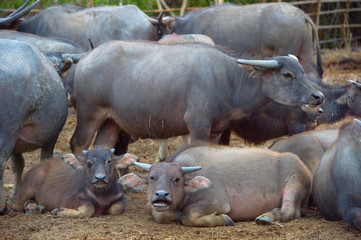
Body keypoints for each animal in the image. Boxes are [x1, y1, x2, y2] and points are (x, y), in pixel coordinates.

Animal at [0, 39, 68, 214]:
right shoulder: (52, 138)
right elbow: (45, 160)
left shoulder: (16, 145)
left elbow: (18, 165)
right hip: (7, 131)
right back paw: (1, 205)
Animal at [69, 40, 322, 155]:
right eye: (287, 74)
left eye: (301, 72)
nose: (318, 97)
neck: (227, 80)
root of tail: (85, 59)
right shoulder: (197, 124)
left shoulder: (217, 130)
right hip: (90, 113)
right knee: (78, 143)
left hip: (112, 120)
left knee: (102, 147)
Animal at [119, 144, 310, 227]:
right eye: (152, 177)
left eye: (177, 179)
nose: (161, 195)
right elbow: (158, 214)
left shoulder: (218, 202)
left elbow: (189, 215)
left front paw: (223, 219)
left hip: (293, 181)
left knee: (290, 210)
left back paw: (267, 217)